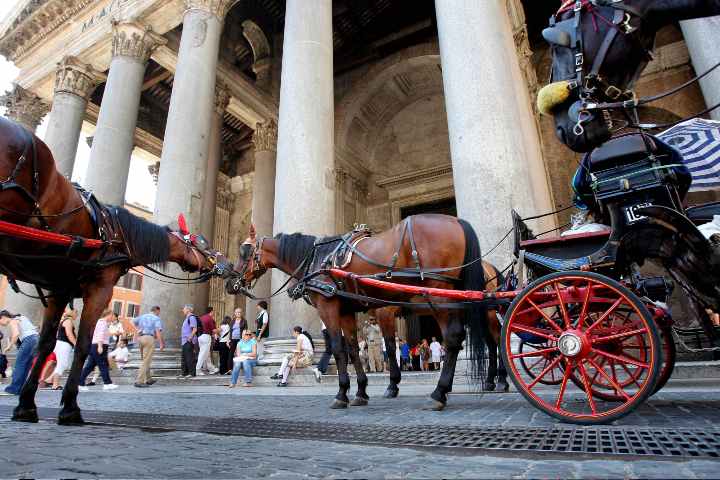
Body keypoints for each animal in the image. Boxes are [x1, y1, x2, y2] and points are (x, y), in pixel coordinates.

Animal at [0, 118, 232, 426]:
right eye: (202, 243)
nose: (226, 264)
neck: (116, 233)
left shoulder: (58, 289)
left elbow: (45, 343)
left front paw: (26, 404)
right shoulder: (100, 287)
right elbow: (82, 345)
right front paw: (69, 407)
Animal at [228, 216, 492, 410]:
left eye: (243, 252)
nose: (229, 282)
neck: (318, 259)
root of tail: (457, 221)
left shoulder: (329, 307)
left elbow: (338, 348)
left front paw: (342, 394)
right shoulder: (347, 311)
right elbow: (353, 349)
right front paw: (361, 392)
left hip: (438, 294)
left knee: (453, 338)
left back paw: (439, 392)